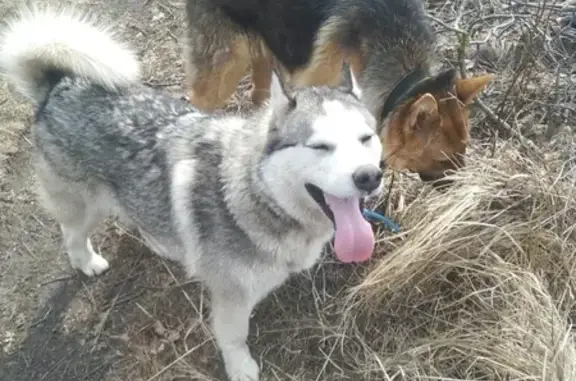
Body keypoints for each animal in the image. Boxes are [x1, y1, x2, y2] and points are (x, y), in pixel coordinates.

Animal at [2, 6, 384, 380]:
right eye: (320, 146)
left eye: (366, 138)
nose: (369, 177)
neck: (258, 195)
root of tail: (60, 84)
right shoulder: (232, 295)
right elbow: (234, 337)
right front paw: (240, 367)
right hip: (86, 205)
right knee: (71, 233)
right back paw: (86, 262)